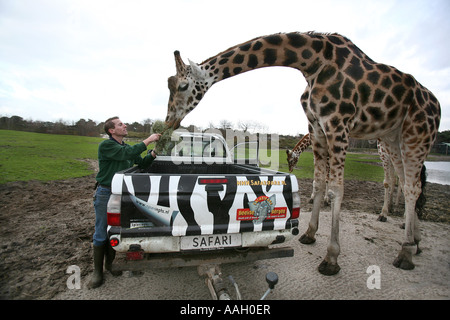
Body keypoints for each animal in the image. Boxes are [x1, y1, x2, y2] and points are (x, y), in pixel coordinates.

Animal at [164, 31, 440, 276]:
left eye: (183, 86)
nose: (168, 122)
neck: (313, 63)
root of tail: (436, 105)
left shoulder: (338, 124)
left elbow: (336, 189)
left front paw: (331, 258)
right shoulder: (317, 128)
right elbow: (318, 184)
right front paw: (309, 234)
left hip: (417, 136)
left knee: (412, 187)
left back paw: (405, 252)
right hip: (393, 138)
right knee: (406, 183)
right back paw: (415, 243)